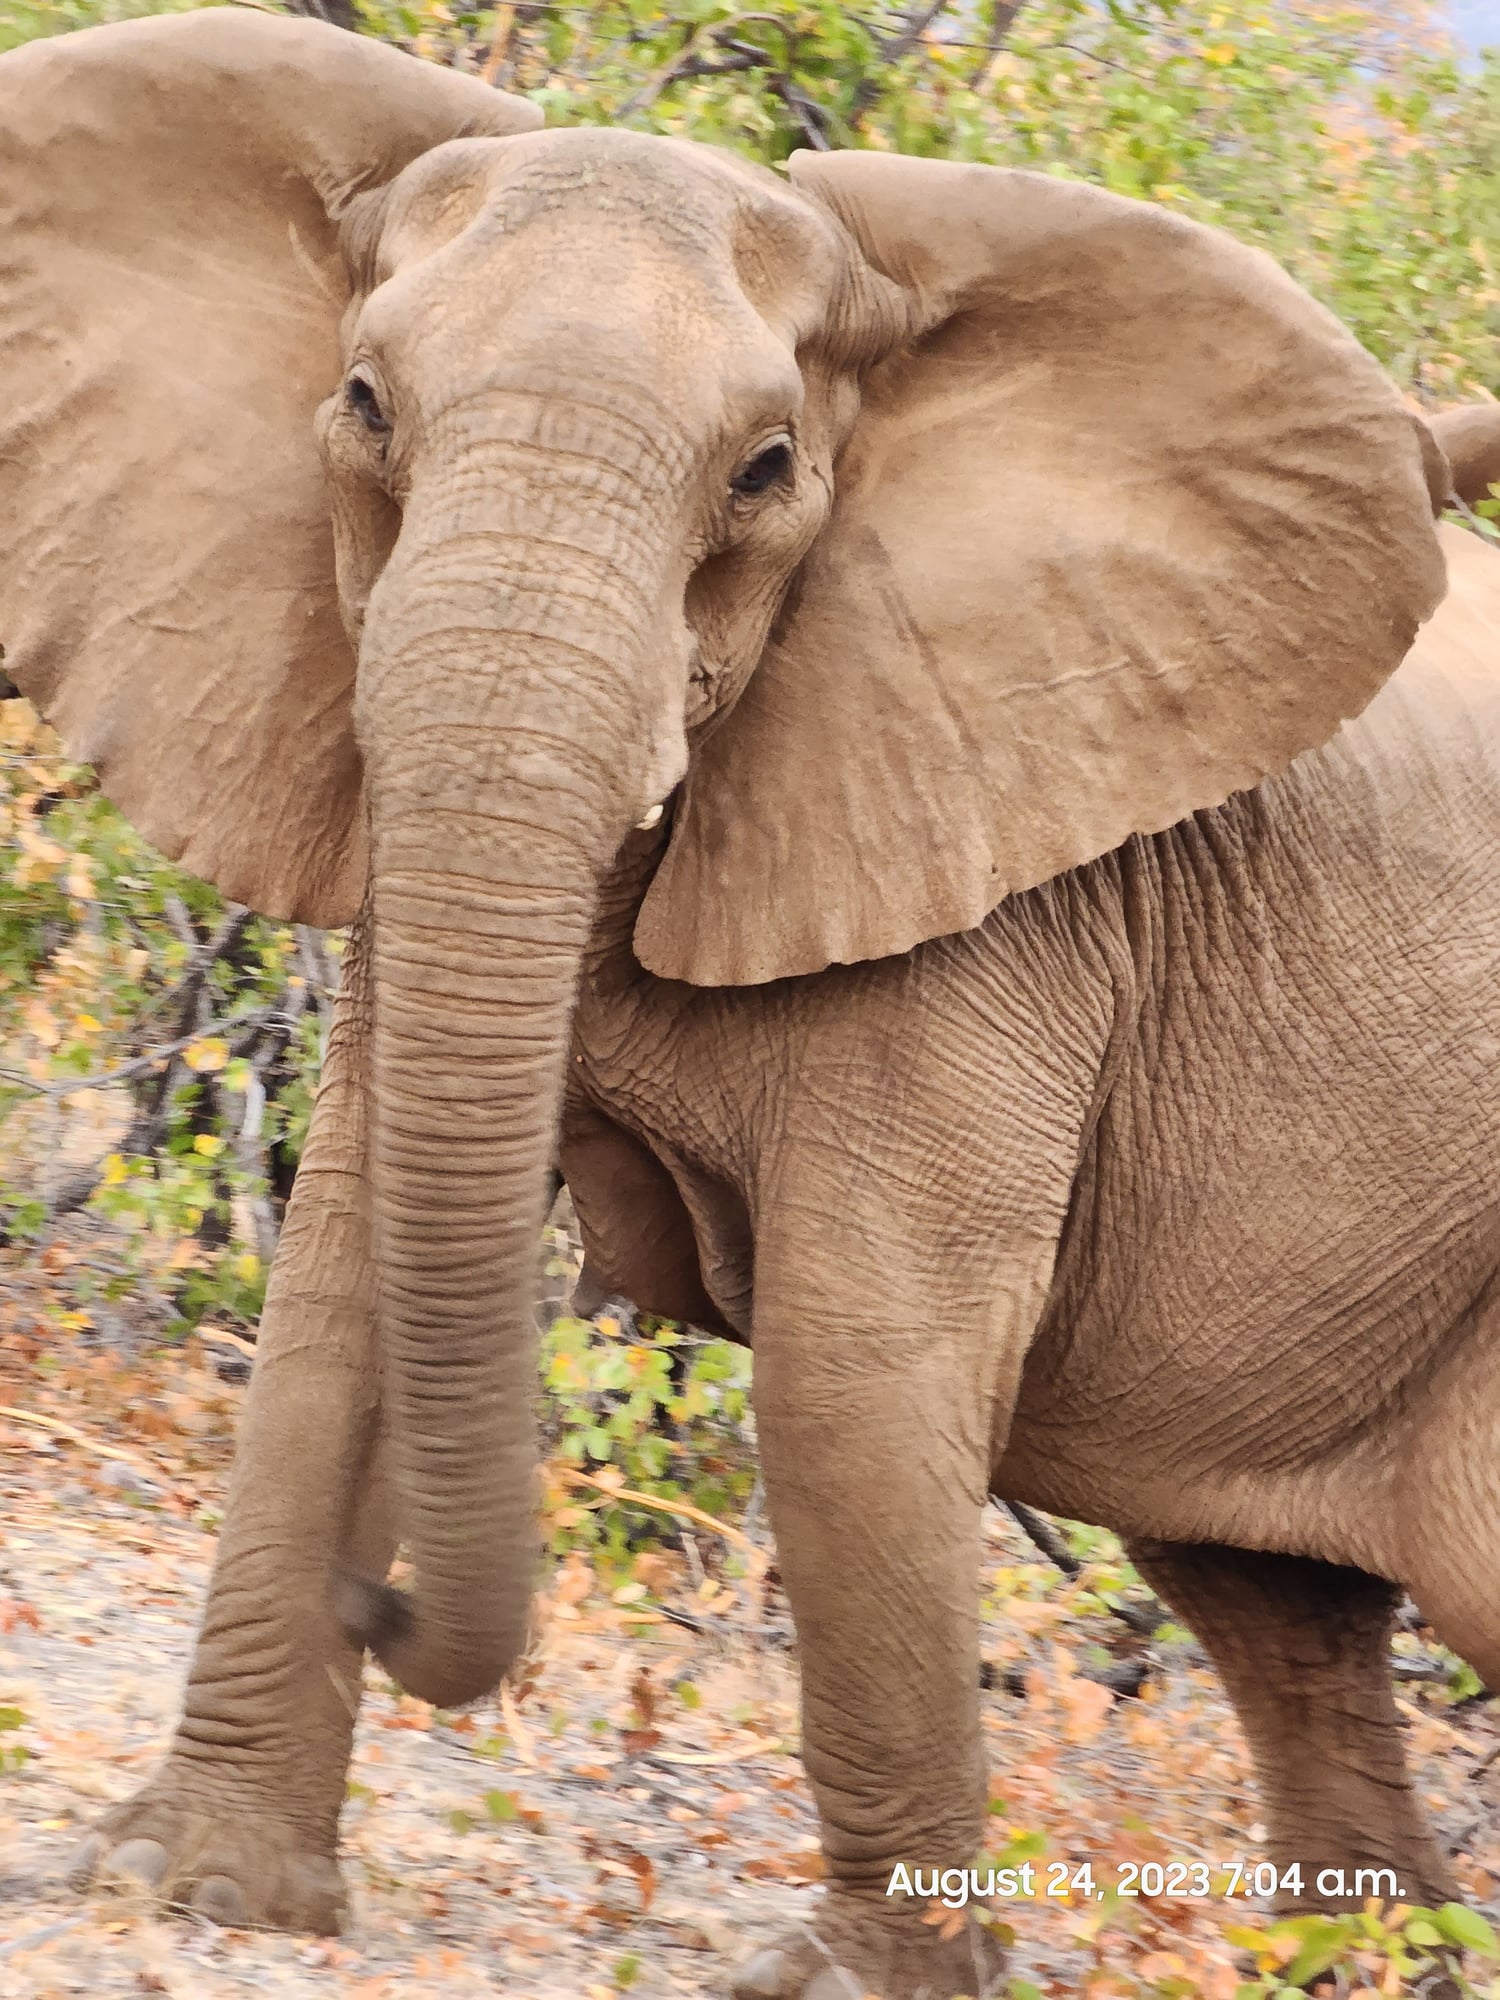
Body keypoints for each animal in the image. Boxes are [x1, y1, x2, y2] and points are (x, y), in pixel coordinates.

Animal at [3, 12, 1499, 1997]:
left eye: (767, 470)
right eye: (367, 407)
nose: (382, 1594)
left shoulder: (1002, 899)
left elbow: (850, 1370)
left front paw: (854, 1982)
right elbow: (341, 1269)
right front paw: (194, 1886)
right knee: (1279, 1613)